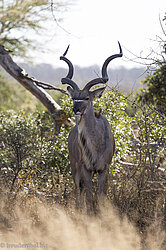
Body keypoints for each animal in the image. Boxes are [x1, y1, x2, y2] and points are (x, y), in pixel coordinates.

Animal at [60, 43, 122, 211]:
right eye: (73, 98)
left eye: (87, 97)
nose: (76, 109)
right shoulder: (85, 169)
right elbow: (88, 199)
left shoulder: (104, 169)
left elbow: (100, 198)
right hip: (74, 167)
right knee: (78, 193)